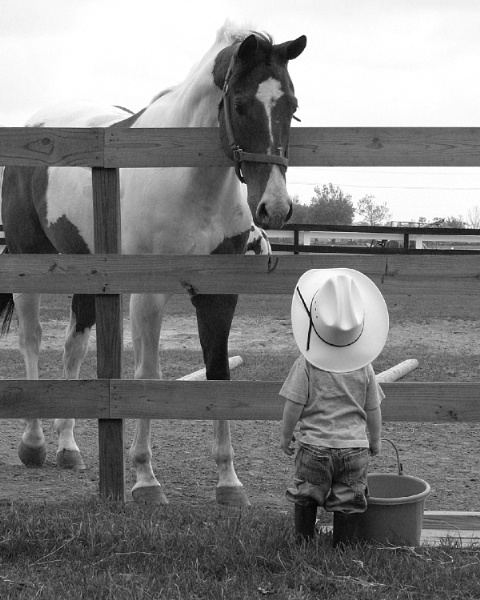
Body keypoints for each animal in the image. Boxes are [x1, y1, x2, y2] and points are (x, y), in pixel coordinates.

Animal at [0, 23, 306, 504]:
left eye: (291, 106)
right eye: (240, 104)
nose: (274, 207)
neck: (190, 182)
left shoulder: (219, 294)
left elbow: (219, 373)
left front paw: (229, 481)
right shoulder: (149, 292)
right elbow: (146, 375)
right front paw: (145, 478)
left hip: (85, 272)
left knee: (73, 347)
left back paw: (68, 446)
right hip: (28, 260)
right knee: (31, 339)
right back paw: (34, 443)